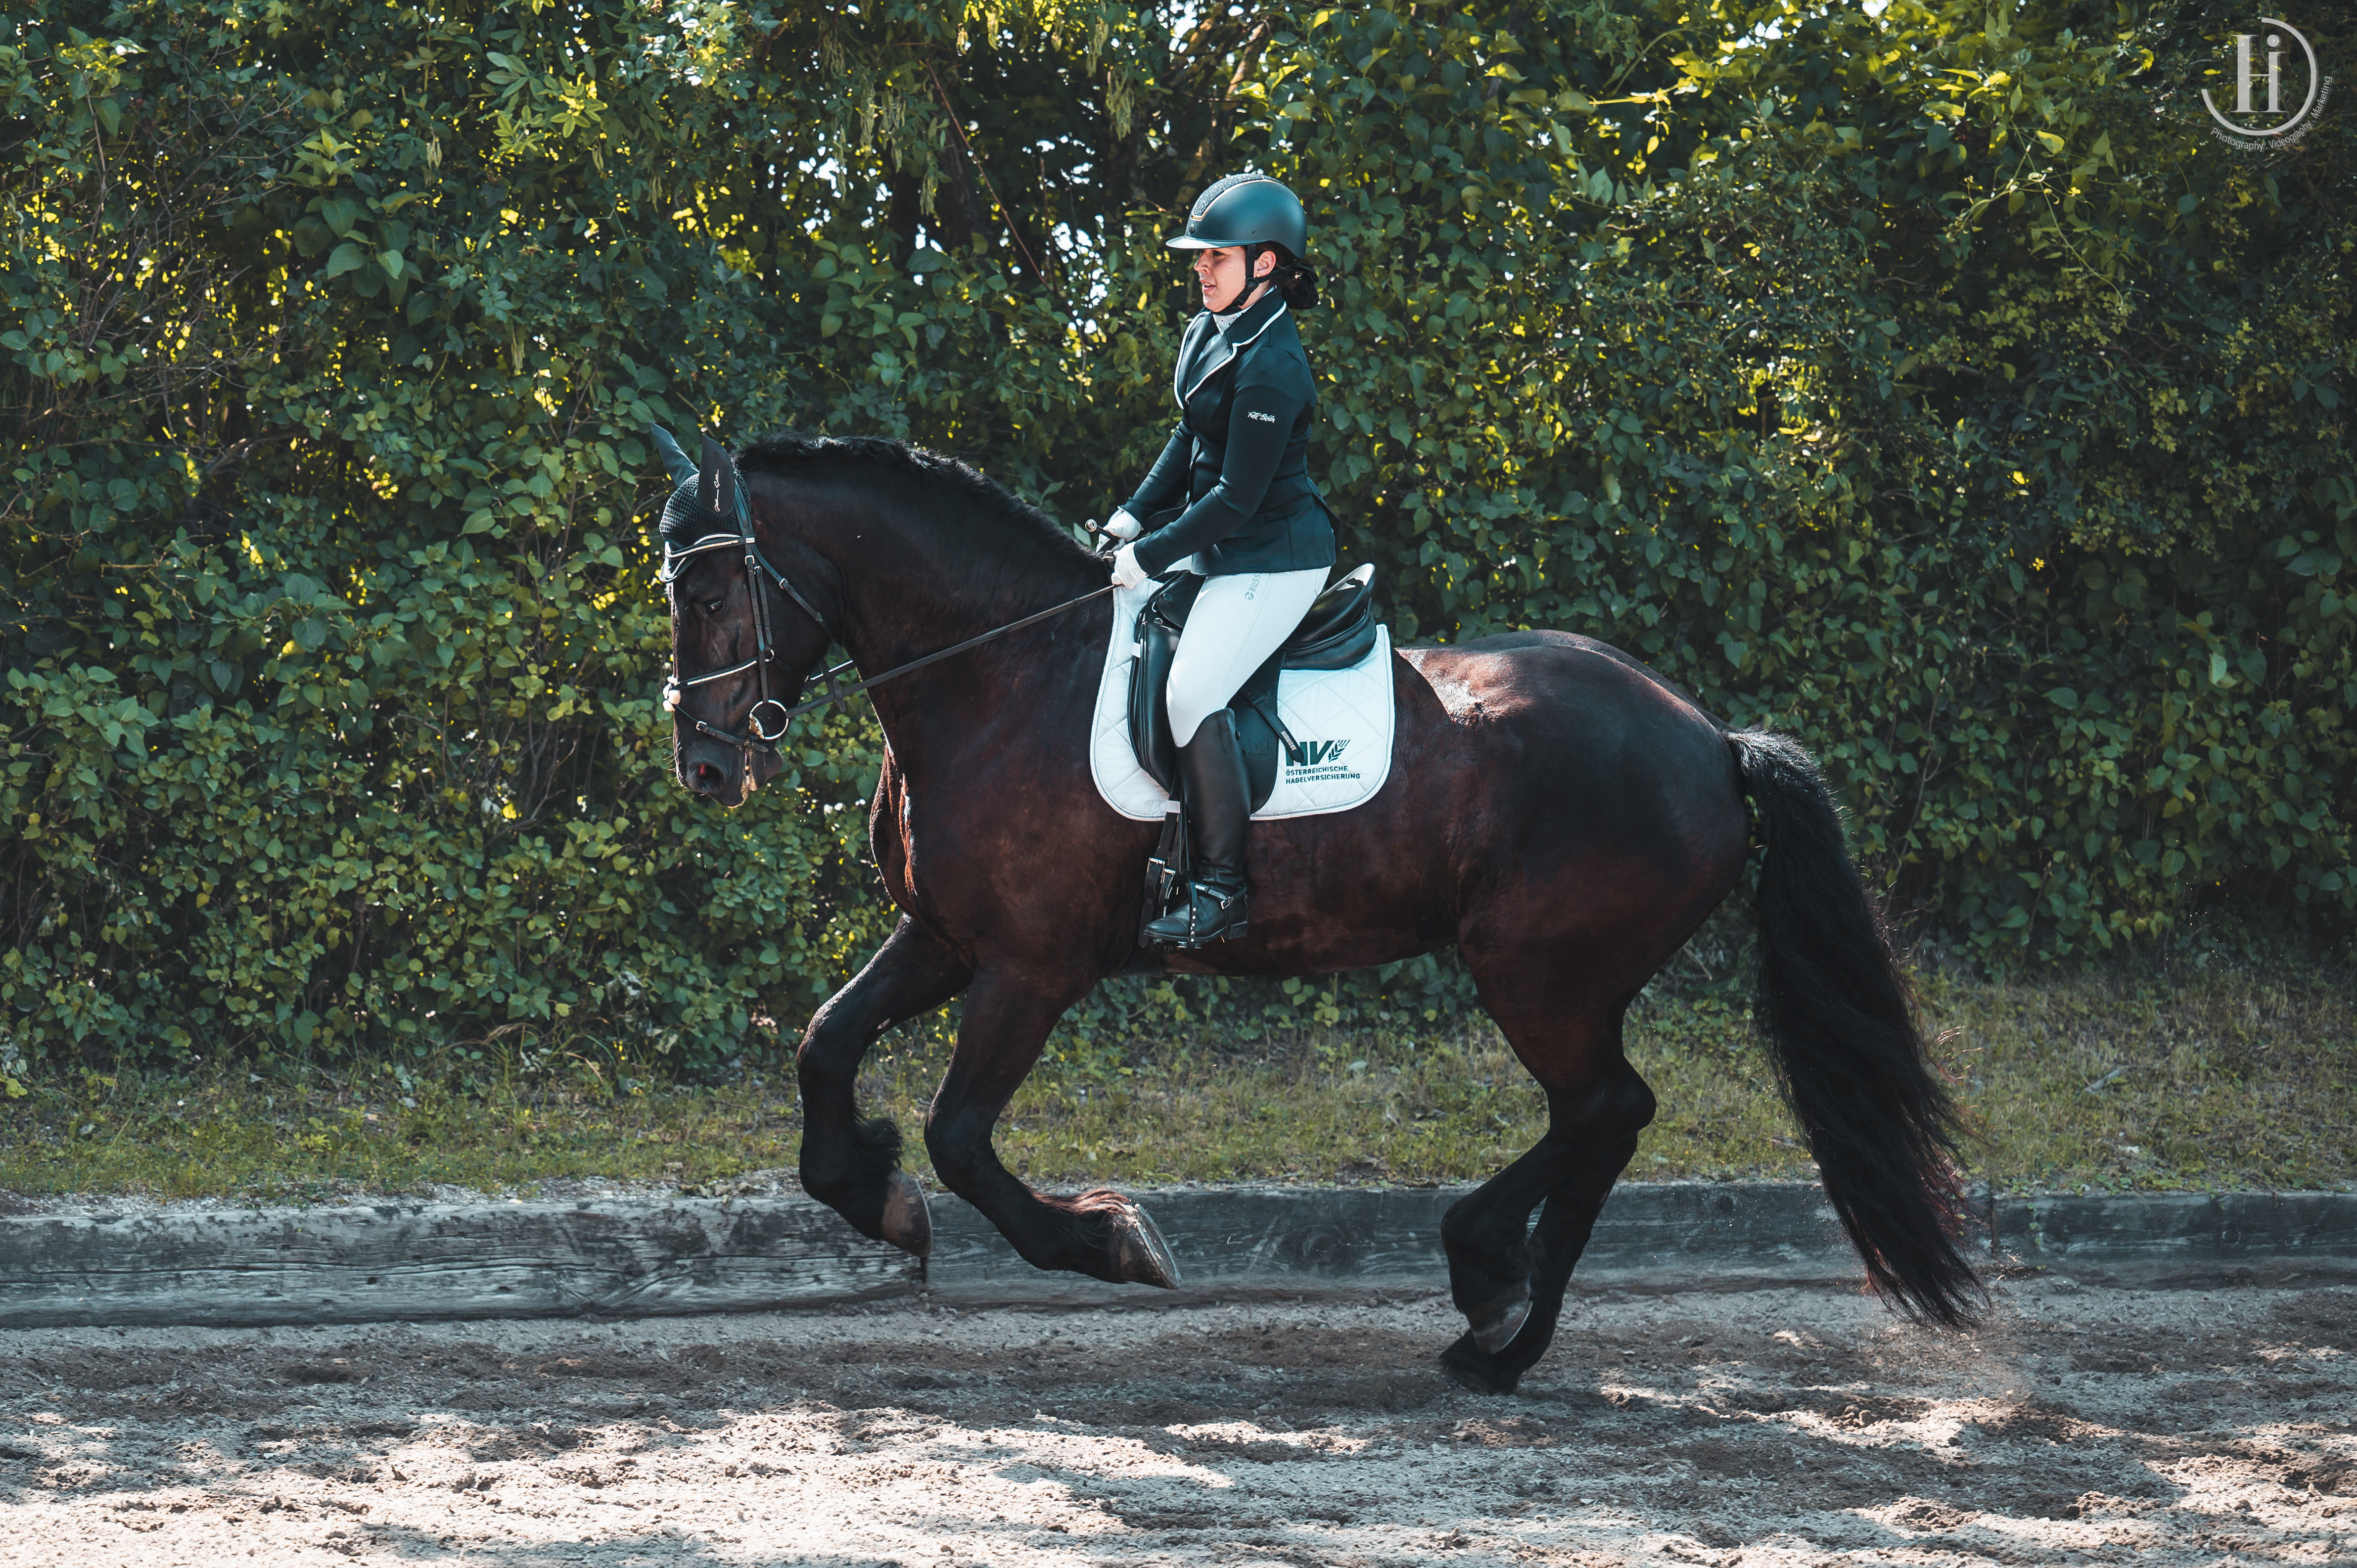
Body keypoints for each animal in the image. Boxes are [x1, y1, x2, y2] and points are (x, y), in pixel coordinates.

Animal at [660, 431, 1970, 1396]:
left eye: (714, 588)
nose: (707, 769)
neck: (1002, 674)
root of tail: (1708, 736)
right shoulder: (944, 938)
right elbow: (824, 1045)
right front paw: (873, 1195)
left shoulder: (1032, 966)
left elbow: (961, 1138)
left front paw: (1112, 1241)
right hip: (1553, 975)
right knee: (1598, 1115)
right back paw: (1487, 1302)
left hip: (1537, 970)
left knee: (1606, 1107)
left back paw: (1497, 1320)